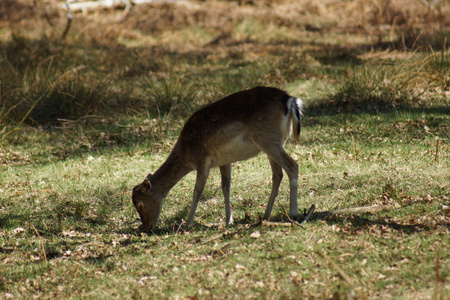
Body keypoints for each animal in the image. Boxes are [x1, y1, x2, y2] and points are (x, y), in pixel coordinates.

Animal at [132, 85, 304, 231]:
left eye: (140, 205)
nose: (146, 228)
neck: (185, 154)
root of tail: (290, 100)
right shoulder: (224, 161)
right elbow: (225, 187)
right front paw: (229, 220)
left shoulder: (202, 160)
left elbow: (197, 191)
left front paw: (188, 224)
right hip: (271, 143)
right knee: (277, 174)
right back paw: (266, 215)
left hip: (268, 140)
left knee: (292, 166)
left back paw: (293, 213)